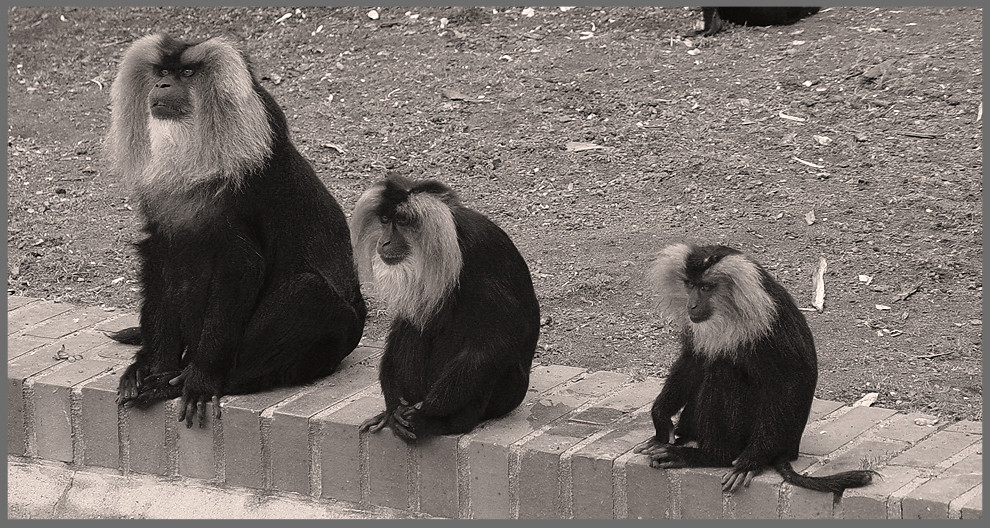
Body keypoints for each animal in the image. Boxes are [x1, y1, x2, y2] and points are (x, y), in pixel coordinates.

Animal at [106, 33, 368, 426]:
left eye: (187, 73)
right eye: (163, 72)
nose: (162, 86)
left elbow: (242, 264)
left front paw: (199, 379)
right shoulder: (160, 223)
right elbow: (160, 256)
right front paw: (153, 368)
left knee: (308, 293)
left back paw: (190, 379)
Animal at [352, 173, 544, 442]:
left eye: (402, 221)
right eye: (386, 220)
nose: (385, 241)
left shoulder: (477, 257)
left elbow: (495, 341)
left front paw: (429, 409)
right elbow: (404, 324)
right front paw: (392, 406)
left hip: (509, 390)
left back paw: (438, 424)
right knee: (414, 329)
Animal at [640, 245, 880, 492]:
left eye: (705, 287)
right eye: (690, 285)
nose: (692, 305)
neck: (730, 312)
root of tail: (789, 449)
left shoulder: (765, 320)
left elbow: (789, 381)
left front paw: (752, 461)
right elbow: (692, 362)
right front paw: (661, 419)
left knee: (723, 370)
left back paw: (710, 455)